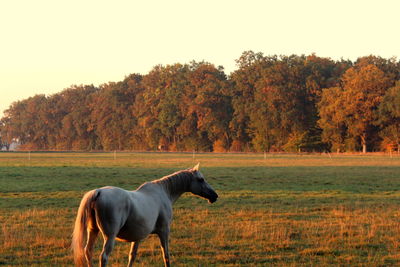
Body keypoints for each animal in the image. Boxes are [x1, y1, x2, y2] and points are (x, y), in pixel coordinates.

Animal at [70, 164, 217, 266]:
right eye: (201, 179)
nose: (214, 196)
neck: (163, 192)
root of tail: (98, 192)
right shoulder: (164, 231)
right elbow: (166, 254)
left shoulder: (137, 237)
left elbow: (132, 256)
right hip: (109, 236)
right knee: (104, 256)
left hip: (93, 231)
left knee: (88, 252)